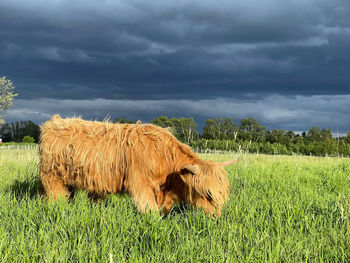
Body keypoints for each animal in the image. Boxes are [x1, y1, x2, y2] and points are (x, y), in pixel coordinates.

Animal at [39, 115, 237, 217]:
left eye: (222, 195)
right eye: (208, 194)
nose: (216, 216)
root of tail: (53, 122)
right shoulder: (140, 182)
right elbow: (148, 208)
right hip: (52, 177)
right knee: (57, 197)